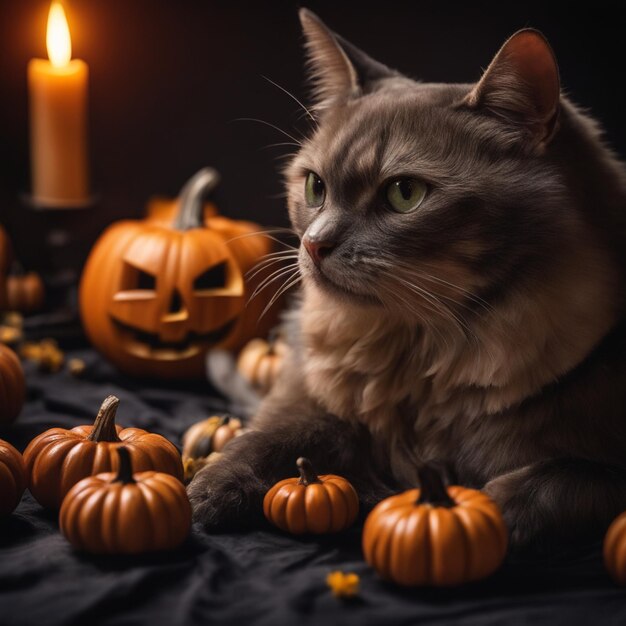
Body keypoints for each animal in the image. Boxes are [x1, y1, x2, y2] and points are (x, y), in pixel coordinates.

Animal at [188, 7, 624, 548]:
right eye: (315, 187)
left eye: (405, 194)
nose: (314, 244)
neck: (428, 354)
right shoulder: (310, 391)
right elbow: (277, 434)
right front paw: (212, 490)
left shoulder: (599, 472)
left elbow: (556, 480)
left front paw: (481, 504)